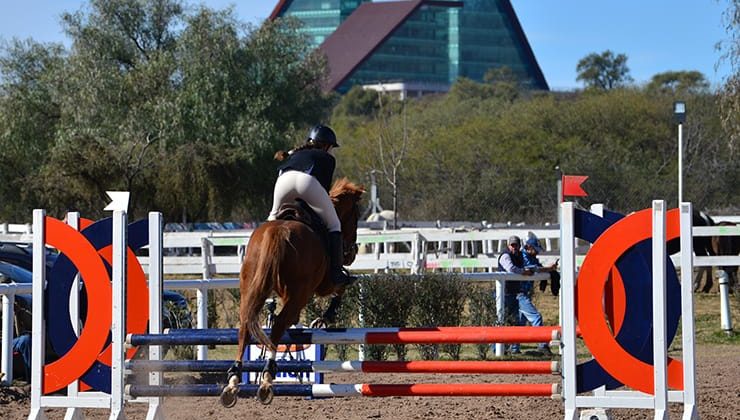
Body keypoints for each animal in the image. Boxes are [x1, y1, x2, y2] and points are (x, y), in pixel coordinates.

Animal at [218, 178, 366, 406]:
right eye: (355, 216)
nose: (352, 253)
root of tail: (277, 232)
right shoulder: (325, 284)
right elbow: (340, 287)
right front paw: (324, 318)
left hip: (251, 286)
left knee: (245, 325)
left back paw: (233, 382)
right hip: (300, 291)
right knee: (279, 323)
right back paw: (267, 378)